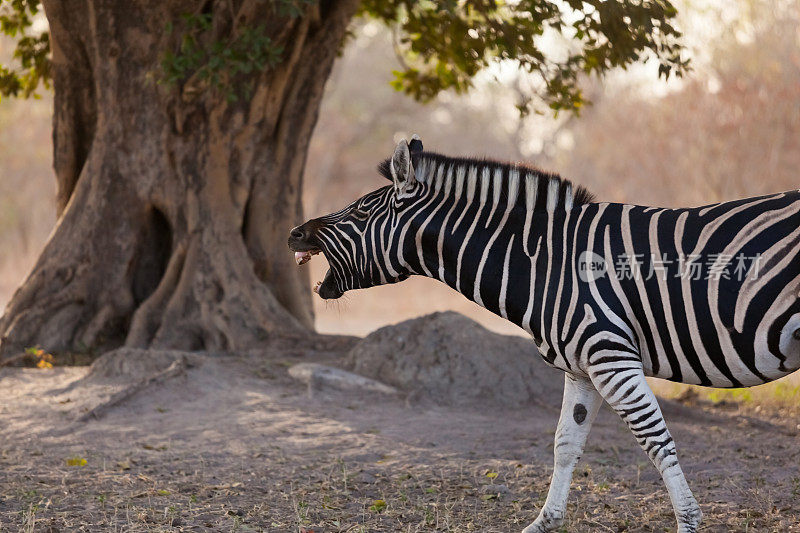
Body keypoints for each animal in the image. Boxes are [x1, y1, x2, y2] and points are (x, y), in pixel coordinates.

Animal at [290, 135, 800, 528]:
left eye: (360, 210)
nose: (295, 233)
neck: (547, 263)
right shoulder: (583, 367)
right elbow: (564, 445)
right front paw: (545, 523)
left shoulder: (611, 355)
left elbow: (655, 441)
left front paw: (689, 522)